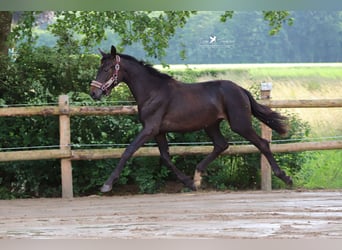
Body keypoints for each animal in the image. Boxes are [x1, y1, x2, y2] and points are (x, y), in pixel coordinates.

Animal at [89, 46, 292, 192]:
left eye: (107, 69)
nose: (94, 93)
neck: (152, 91)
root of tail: (241, 89)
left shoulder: (150, 129)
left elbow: (128, 151)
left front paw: (107, 184)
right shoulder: (159, 131)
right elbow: (165, 157)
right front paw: (188, 182)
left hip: (239, 124)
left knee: (262, 143)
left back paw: (285, 177)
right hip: (211, 125)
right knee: (221, 145)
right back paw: (197, 175)